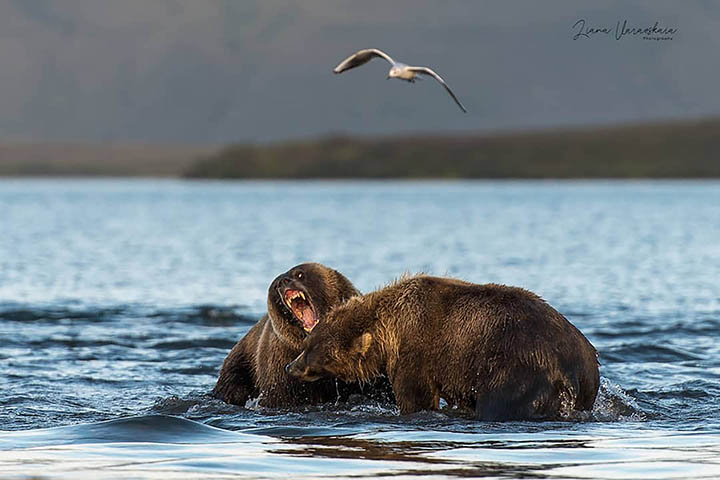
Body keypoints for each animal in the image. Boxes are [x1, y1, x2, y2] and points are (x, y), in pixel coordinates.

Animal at [284, 274, 600, 420]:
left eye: (315, 349)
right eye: (307, 343)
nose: (291, 366)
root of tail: (571, 367)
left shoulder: (417, 354)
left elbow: (416, 396)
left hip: (518, 371)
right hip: (587, 381)